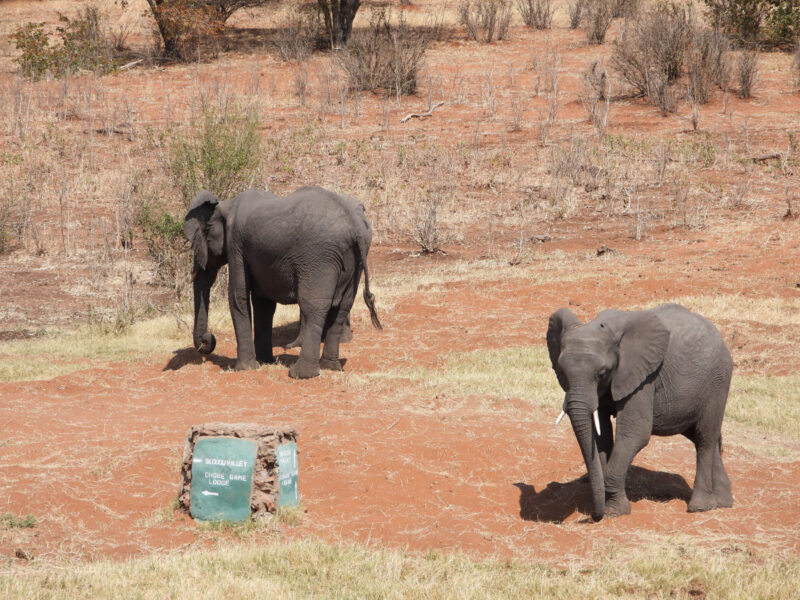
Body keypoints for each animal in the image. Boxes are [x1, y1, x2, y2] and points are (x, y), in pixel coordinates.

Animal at [184, 186, 382, 379]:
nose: (208, 338)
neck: (225, 205)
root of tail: (355, 225)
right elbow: (263, 304)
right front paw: (264, 362)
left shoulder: (236, 244)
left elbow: (238, 297)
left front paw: (245, 369)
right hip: (354, 258)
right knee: (342, 307)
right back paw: (330, 367)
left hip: (319, 258)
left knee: (313, 308)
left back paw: (300, 374)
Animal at [546, 303, 733, 521]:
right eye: (562, 371)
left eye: (601, 373)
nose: (593, 516)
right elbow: (601, 436)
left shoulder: (643, 377)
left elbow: (635, 432)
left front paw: (614, 512)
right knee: (707, 438)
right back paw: (723, 503)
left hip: (718, 381)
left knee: (705, 438)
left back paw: (700, 507)